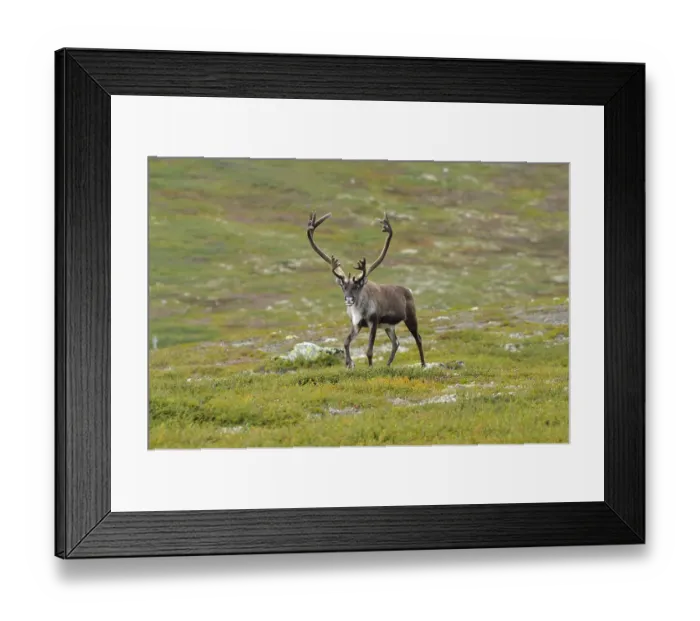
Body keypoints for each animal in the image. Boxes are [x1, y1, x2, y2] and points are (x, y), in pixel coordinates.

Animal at [306, 211, 426, 369]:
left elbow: (369, 350)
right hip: (388, 326)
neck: (358, 309)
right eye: (343, 286)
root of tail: (409, 291)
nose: (349, 299)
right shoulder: (356, 324)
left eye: (357, 286)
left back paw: (423, 364)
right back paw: (388, 364)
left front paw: (370, 367)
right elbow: (346, 342)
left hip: (410, 316)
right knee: (396, 342)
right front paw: (349, 364)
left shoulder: (373, 322)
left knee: (418, 338)